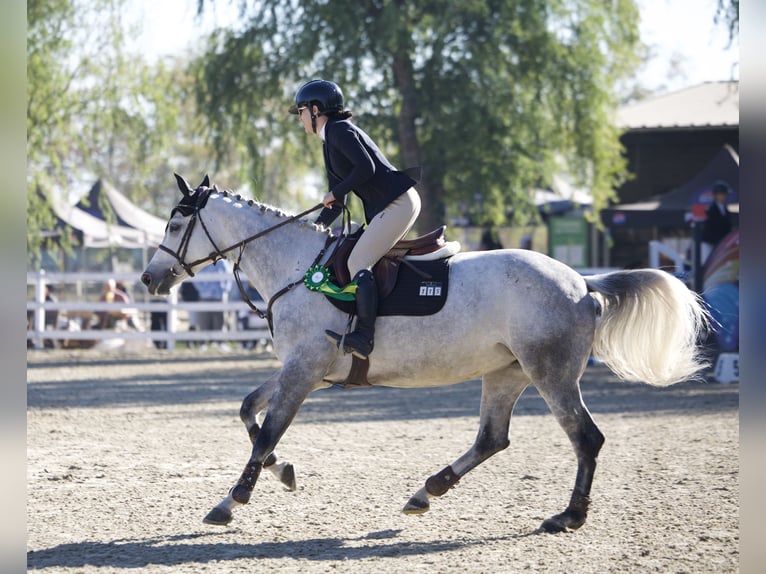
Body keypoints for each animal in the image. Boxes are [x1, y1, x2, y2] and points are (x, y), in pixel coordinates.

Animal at [141, 176, 712, 536]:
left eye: (174, 226)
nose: (150, 278)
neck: (297, 268)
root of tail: (582, 283)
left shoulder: (303, 371)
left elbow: (266, 432)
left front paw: (230, 502)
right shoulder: (305, 371)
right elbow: (250, 413)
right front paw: (283, 473)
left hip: (550, 373)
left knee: (585, 439)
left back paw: (566, 518)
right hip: (506, 372)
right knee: (492, 438)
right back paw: (427, 491)